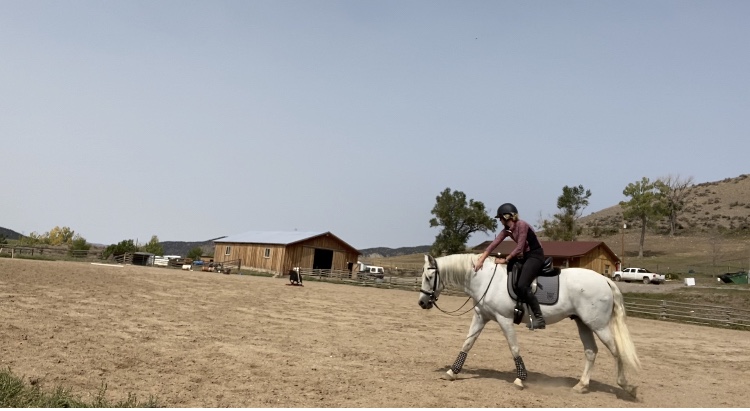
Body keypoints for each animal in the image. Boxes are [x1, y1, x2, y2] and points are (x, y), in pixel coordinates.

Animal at [417, 254, 640, 396]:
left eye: (429, 277)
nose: (422, 303)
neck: (485, 279)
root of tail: (604, 280)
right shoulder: (481, 317)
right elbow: (467, 344)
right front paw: (452, 372)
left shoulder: (504, 319)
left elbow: (514, 348)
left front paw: (520, 379)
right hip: (583, 324)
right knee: (591, 351)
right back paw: (581, 386)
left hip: (599, 325)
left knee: (615, 351)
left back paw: (627, 386)